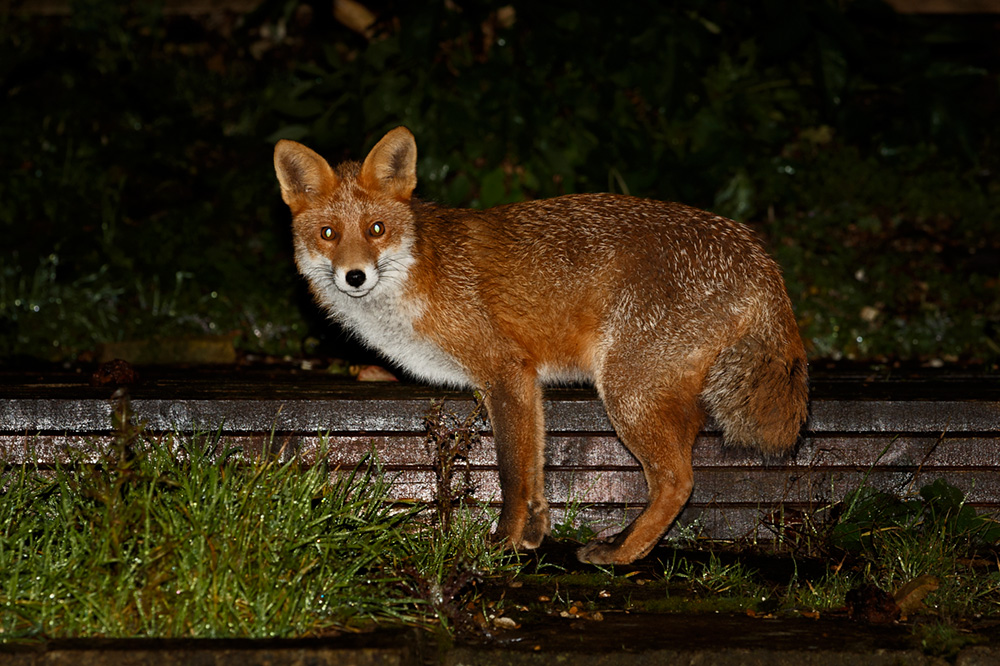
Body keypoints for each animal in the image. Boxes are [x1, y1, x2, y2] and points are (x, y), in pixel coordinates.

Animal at [273, 126, 809, 565]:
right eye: (328, 234)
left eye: (376, 230)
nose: (355, 276)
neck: (419, 274)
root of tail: (758, 255)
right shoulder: (524, 383)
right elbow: (533, 473)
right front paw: (532, 537)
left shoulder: (504, 372)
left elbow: (511, 474)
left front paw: (502, 543)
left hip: (628, 393)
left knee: (679, 481)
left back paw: (622, 555)